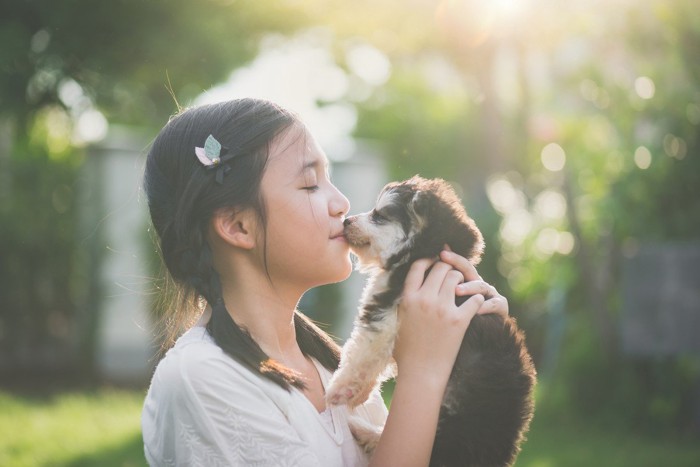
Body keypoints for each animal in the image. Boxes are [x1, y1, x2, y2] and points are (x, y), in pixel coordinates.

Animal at [326, 176, 536, 467]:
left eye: (379, 215)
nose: (346, 221)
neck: (424, 252)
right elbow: (375, 356)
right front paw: (360, 393)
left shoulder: (384, 308)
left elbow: (363, 352)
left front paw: (342, 389)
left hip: (453, 416)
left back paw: (366, 432)